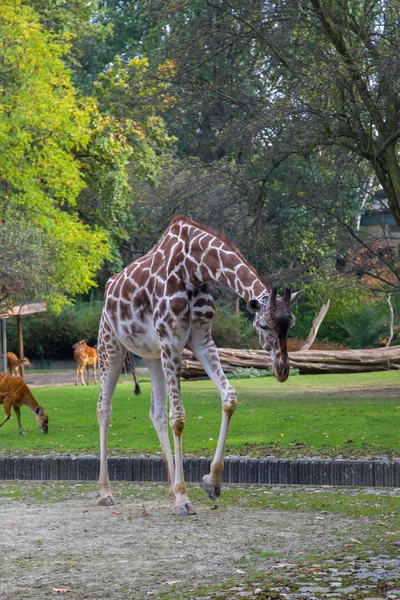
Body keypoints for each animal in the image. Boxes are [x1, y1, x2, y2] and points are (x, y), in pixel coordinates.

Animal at [97, 216, 304, 516]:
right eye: (264, 325)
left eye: (291, 324)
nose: (282, 371)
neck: (194, 267)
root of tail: (109, 287)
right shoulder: (173, 340)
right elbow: (179, 417)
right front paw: (183, 499)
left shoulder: (202, 339)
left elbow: (229, 397)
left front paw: (211, 482)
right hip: (110, 345)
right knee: (104, 408)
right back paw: (105, 492)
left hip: (152, 354)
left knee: (156, 413)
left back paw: (170, 488)